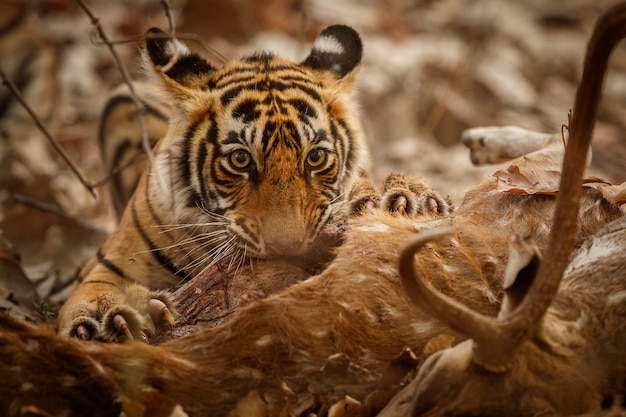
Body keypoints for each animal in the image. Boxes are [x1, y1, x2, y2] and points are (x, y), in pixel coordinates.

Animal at [56, 23, 372, 342]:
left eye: (315, 157)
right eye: (240, 159)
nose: (287, 245)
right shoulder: (107, 263)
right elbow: (93, 290)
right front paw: (116, 315)